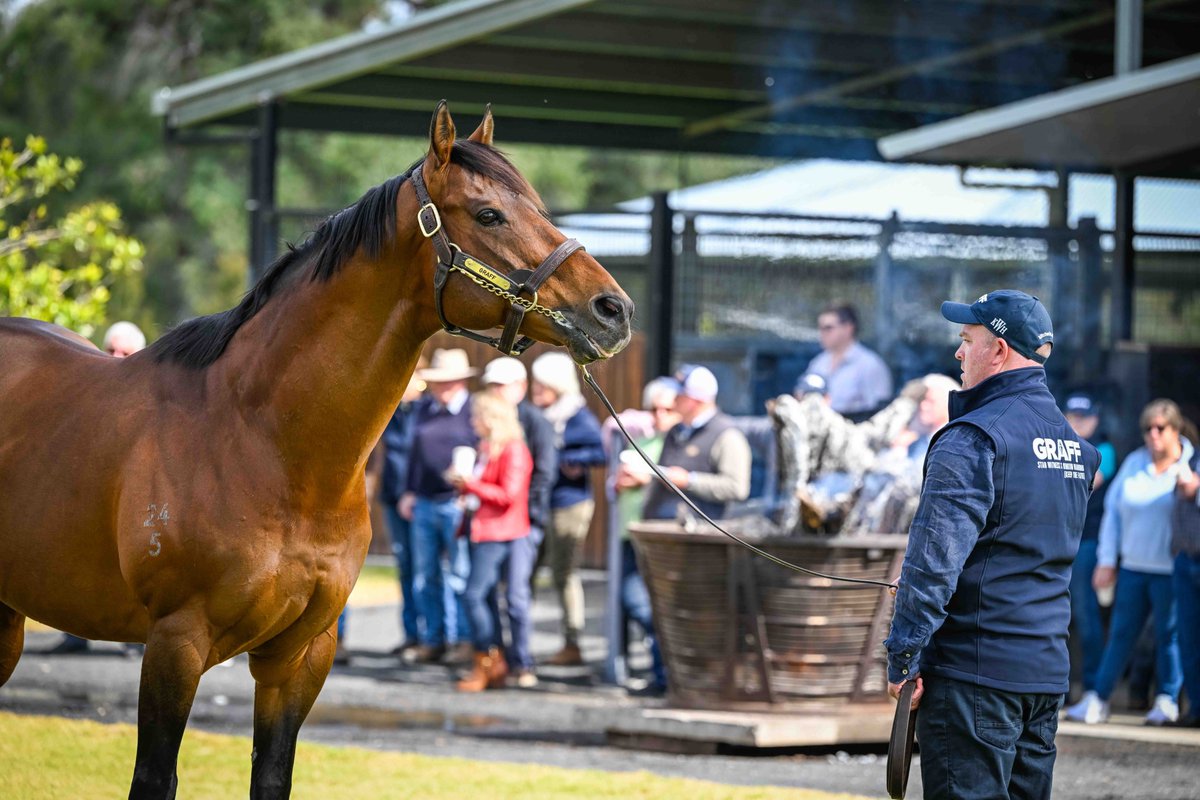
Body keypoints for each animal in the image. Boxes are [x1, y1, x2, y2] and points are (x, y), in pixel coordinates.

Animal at [0, 102, 633, 799]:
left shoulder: (301, 655)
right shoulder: (174, 644)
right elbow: (154, 777)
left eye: (539, 206)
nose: (614, 309)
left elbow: (272, 776)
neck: (265, 445)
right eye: (489, 214)